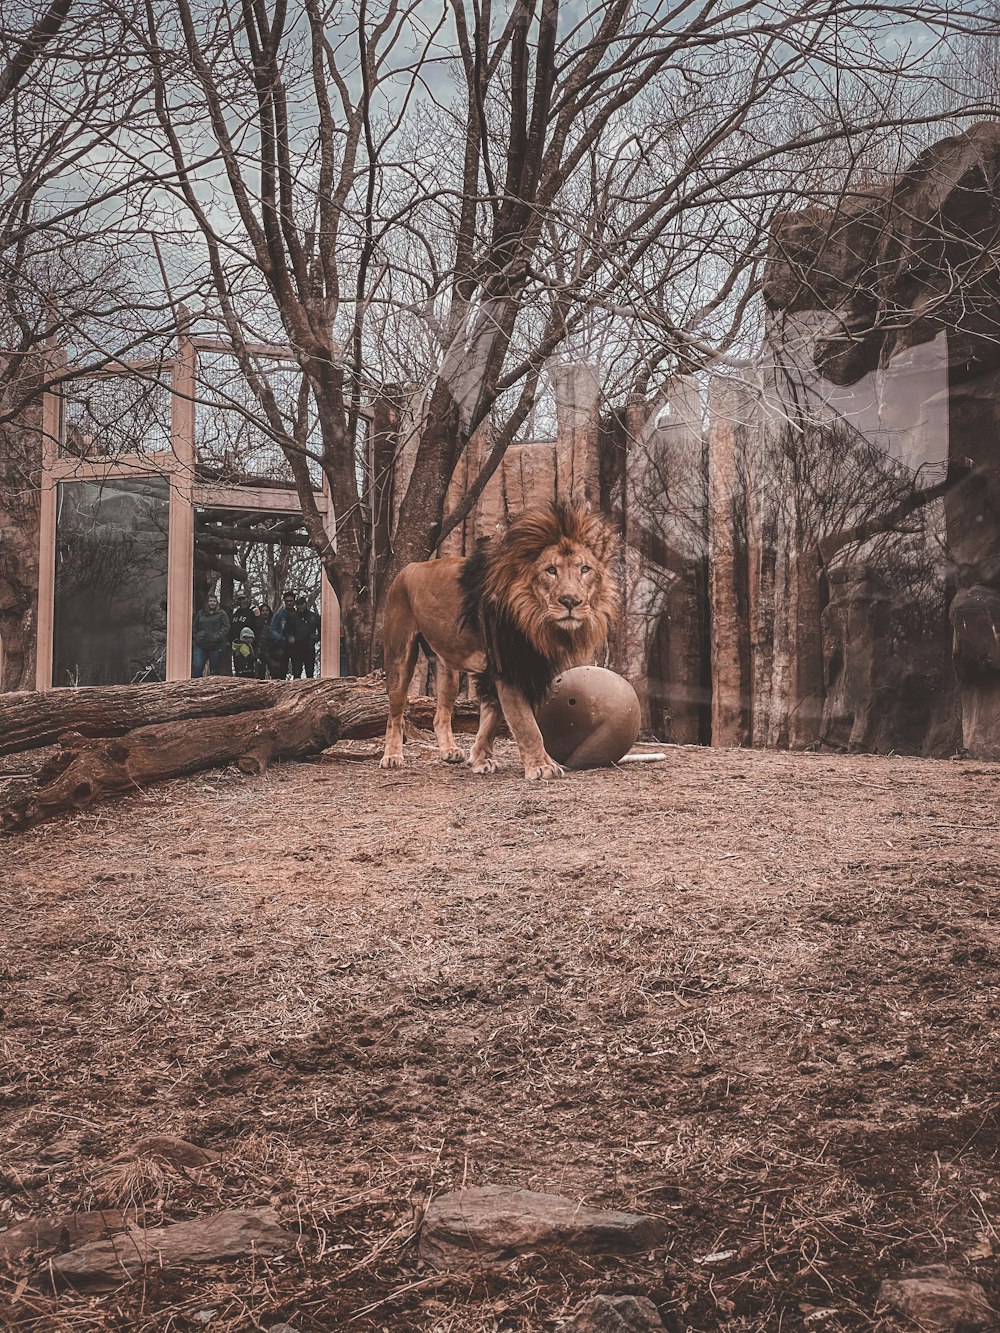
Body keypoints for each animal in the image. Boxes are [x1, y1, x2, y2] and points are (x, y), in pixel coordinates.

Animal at [381, 501, 618, 778]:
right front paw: (542, 766)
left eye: (584, 569)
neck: (538, 622)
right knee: (394, 714)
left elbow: (492, 719)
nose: (571, 601)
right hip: (399, 656)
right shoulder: (509, 666)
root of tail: (410, 567)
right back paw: (392, 756)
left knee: (440, 714)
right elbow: (526, 724)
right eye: (551, 570)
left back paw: (449, 751)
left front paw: (480, 759)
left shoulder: (520, 667)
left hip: (447, 667)